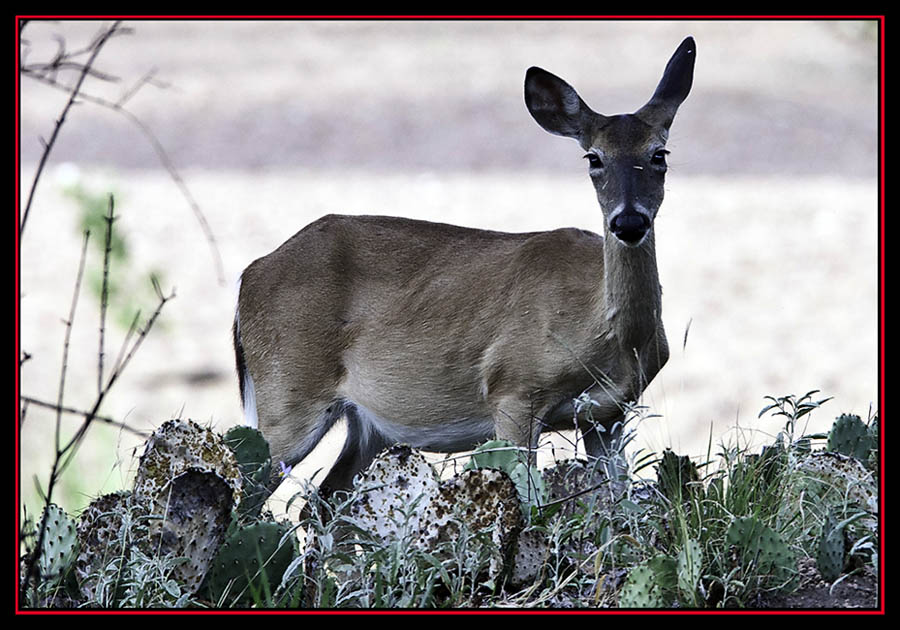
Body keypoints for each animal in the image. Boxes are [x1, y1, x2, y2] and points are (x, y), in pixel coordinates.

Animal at [232, 37, 696, 498]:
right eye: (593, 158)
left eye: (660, 153)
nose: (629, 222)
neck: (611, 334)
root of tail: (249, 276)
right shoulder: (514, 389)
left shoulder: (609, 413)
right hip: (287, 391)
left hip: (366, 424)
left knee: (326, 495)